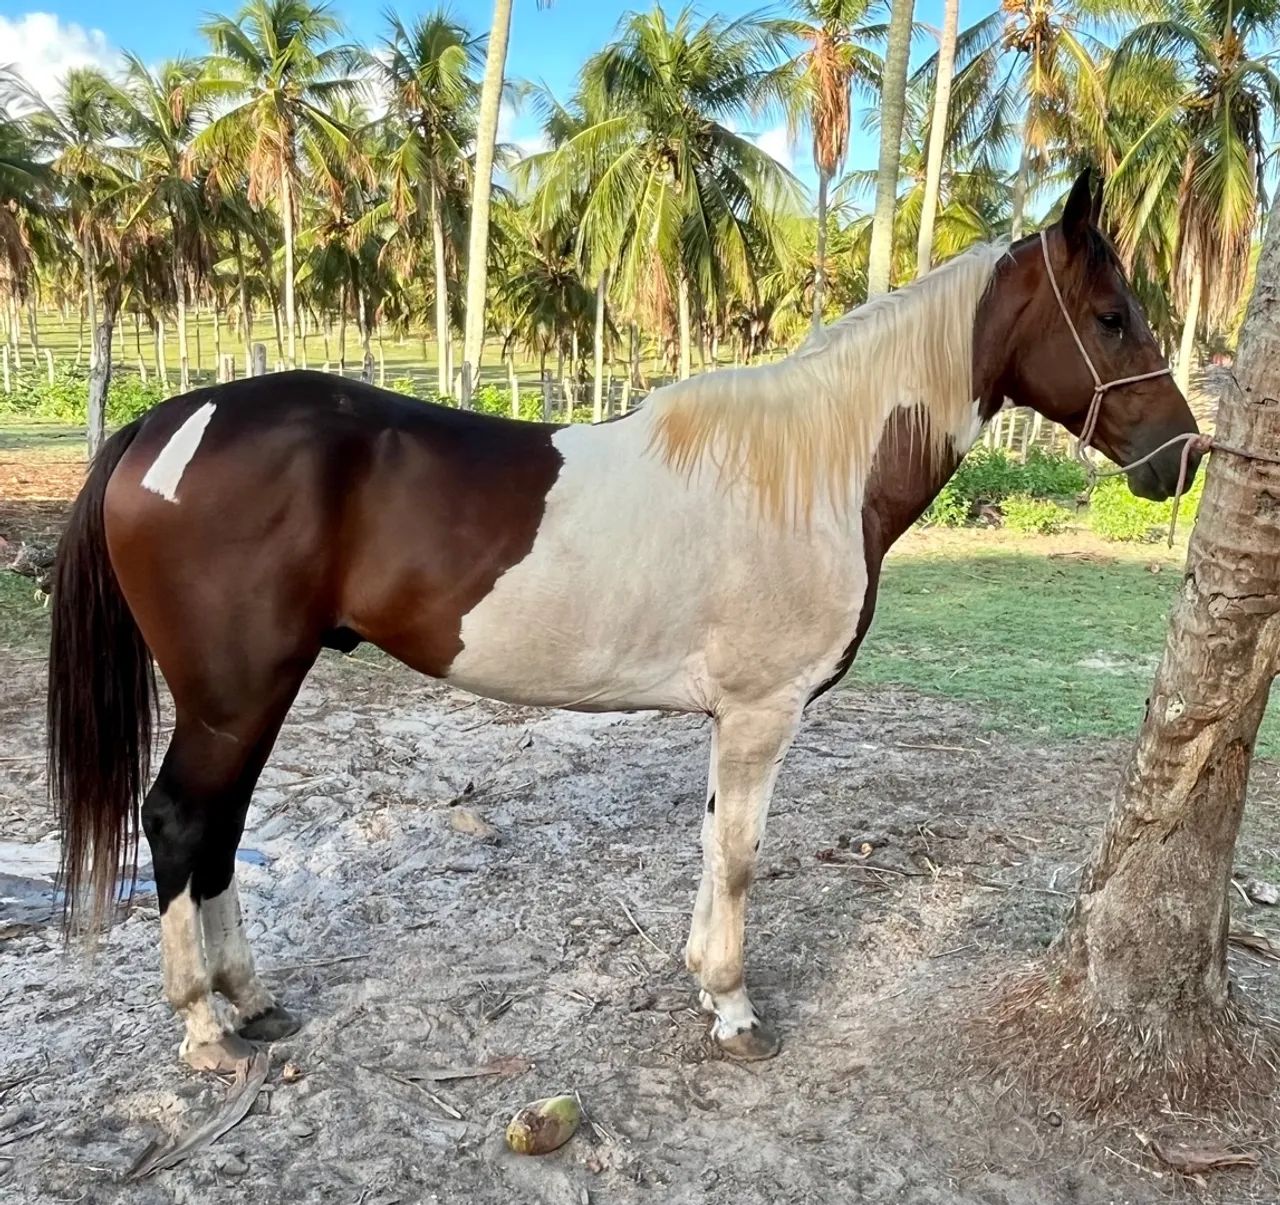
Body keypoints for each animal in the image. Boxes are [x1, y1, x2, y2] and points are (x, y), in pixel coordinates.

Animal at [47, 171, 1200, 1073]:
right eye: (1110, 314)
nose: (1181, 456)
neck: (815, 469)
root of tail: (162, 421)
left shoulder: (730, 718)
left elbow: (711, 842)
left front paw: (700, 980)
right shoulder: (761, 712)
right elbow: (737, 853)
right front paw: (734, 1009)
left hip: (255, 693)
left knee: (220, 831)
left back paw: (251, 1000)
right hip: (232, 694)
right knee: (180, 822)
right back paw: (204, 1029)